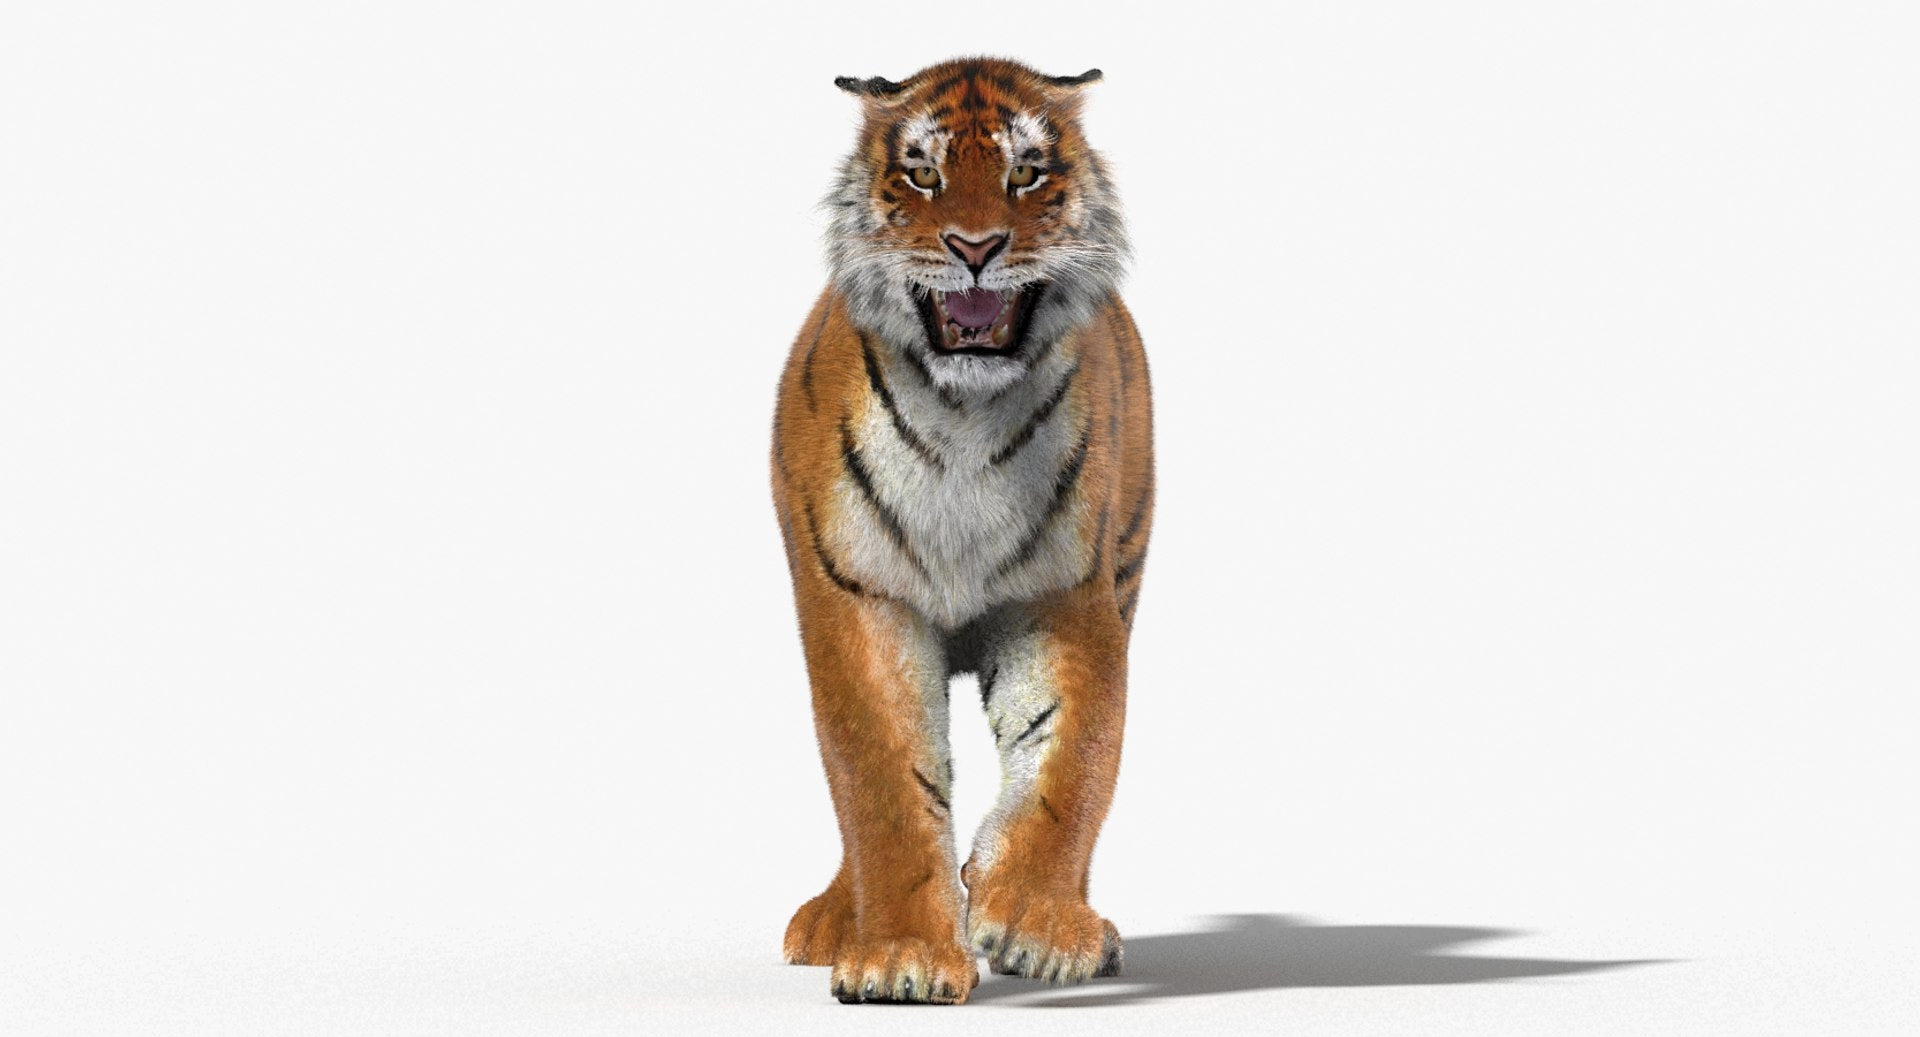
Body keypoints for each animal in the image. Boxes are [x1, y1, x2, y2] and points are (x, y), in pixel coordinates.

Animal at [769, 56, 1153, 1005]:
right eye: (921, 173)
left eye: (1026, 173)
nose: (975, 247)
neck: (963, 418)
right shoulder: (858, 596)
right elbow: (883, 782)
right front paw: (899, 955)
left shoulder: (1066, 596)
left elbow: (1071, 764)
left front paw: (1037, 925)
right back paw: (833, 918)